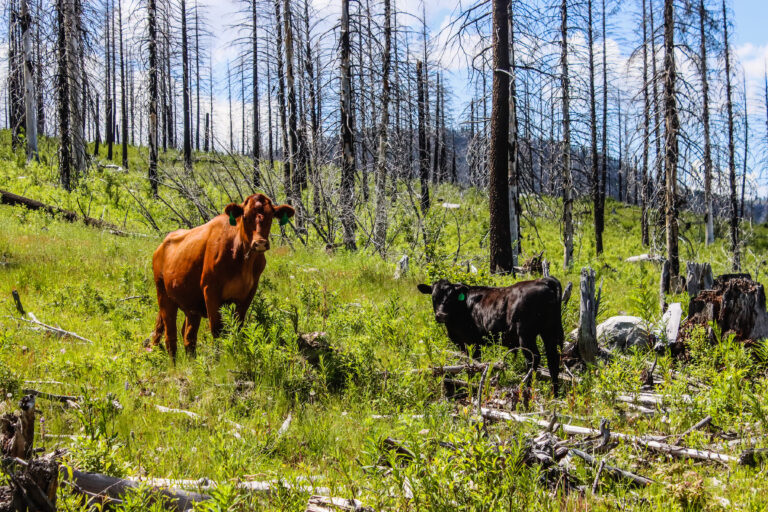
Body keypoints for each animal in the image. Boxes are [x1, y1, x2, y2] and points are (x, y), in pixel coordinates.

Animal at [151, 193, 294, 360]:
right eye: (245, 217)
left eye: (271, 216)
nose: (260, 243)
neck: (242, 257)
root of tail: (161, 246)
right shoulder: (210, 291)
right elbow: (217, 330)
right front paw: (221, 360)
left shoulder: (248, 293)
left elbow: (238, 327)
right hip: (164, 297)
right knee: (170, 338)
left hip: (191, 305)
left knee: (188, 337)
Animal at [420, 278, 564, 394]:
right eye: (434, 297)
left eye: (451, 297)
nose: (441, 315)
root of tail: (543, 280)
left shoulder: (471, 342)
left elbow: (473, 363)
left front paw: (473, 382)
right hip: (549, 331)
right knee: (553, 359)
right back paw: (555, 393)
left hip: (526, 334)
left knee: (533, 358)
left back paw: (526, 387)